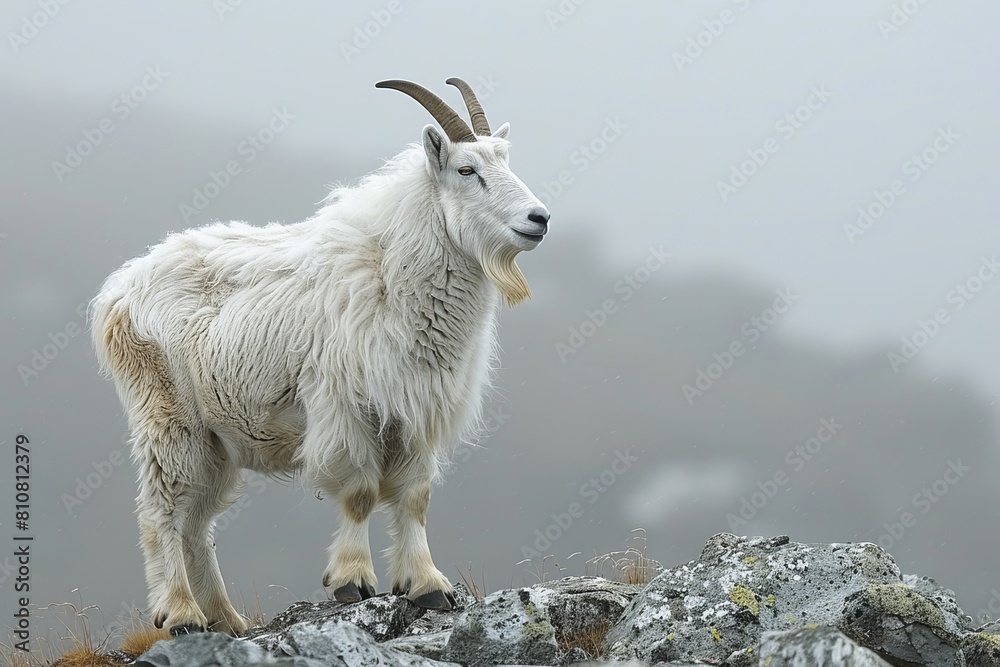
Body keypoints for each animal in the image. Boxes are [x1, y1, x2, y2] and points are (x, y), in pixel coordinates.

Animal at [90, 78, 550, 635]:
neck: (390, 277)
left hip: (215, 439)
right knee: (162, 510)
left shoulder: (417, 411)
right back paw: (181, 613)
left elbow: (415, 497)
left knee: (197, 523)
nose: (539, 219)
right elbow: (360, 492)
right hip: (166, 416)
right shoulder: (345, 407)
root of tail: (119, 290)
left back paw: (227, 620)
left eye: (506, 160)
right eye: (467, 170)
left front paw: (428, 586)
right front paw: (352, 580)